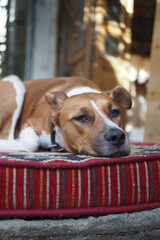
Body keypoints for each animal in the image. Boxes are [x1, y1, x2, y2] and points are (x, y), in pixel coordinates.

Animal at [0, 75, 132, 158]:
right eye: (81, 117)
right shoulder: (30, 123)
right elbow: (31, 143)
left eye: (115, 112)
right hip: (15, 83)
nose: (117, 136)